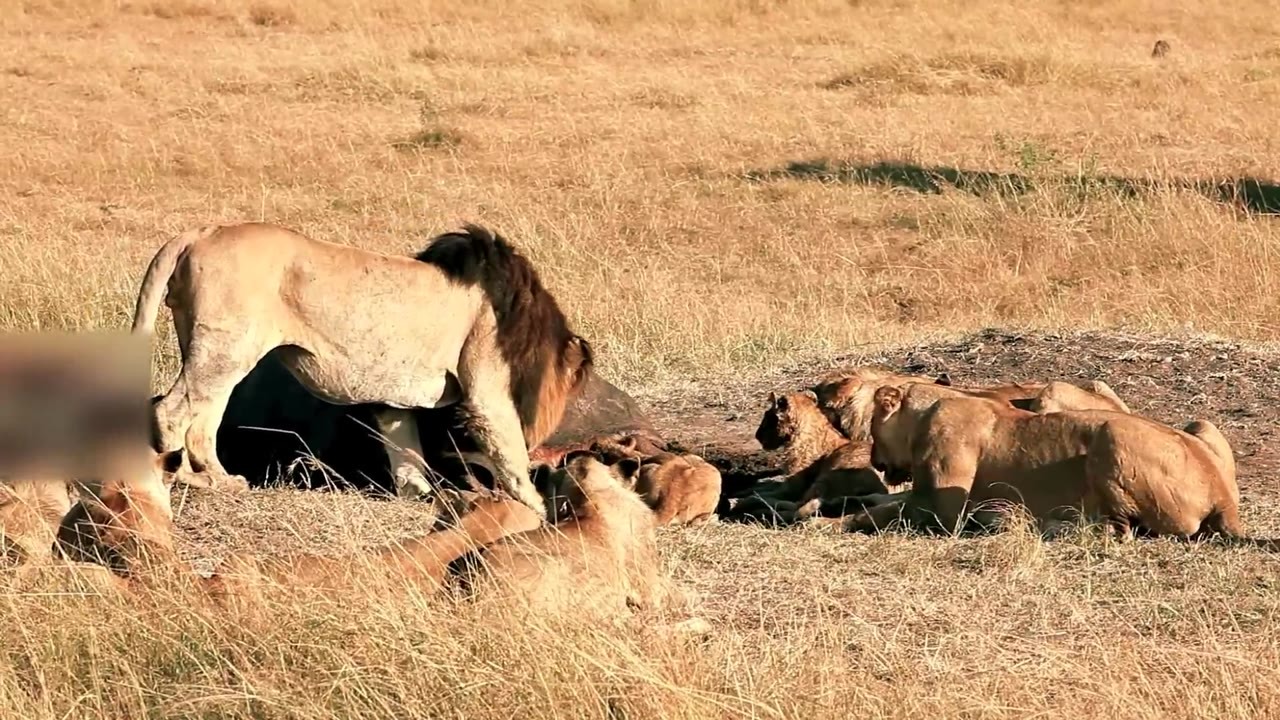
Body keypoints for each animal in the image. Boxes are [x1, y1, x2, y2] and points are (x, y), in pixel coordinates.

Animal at [134, 222, 593, 520]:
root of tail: (202, 233)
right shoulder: (487, 390)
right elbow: (510, 453)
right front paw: (539, 507)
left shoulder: (395, 399)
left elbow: (405, 449)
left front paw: (419, 493)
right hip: (228, 348)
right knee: (171, 412)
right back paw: (185, 478)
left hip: (215, 349)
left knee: (201, 423)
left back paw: (221, 479)